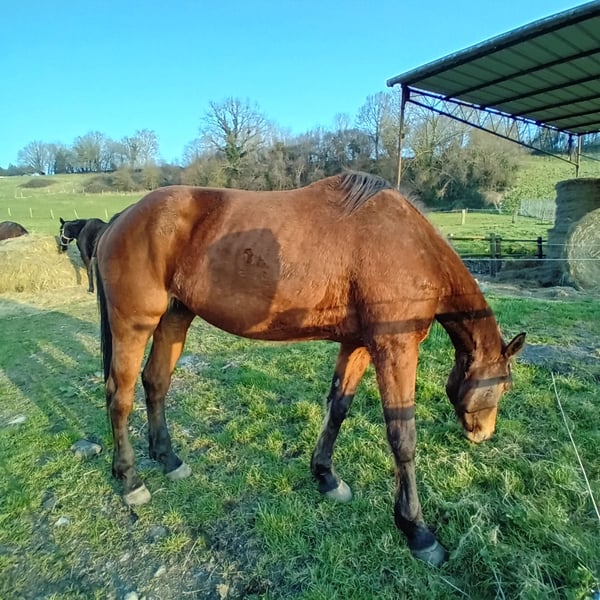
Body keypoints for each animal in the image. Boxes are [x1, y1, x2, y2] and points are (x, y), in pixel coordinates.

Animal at [95, 172, 525, 566]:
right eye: (504, 385)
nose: (483, 434)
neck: (411, 246)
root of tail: (122, 217)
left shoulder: (357, 345)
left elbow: (337, 407)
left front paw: (325, 477)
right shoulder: (395, 348)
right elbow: (402, 436)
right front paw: (417, 531)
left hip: (174, 318)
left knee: (156, 384)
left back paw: (169, 459)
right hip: (134, 323)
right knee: (121, 396)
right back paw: (130, 480)